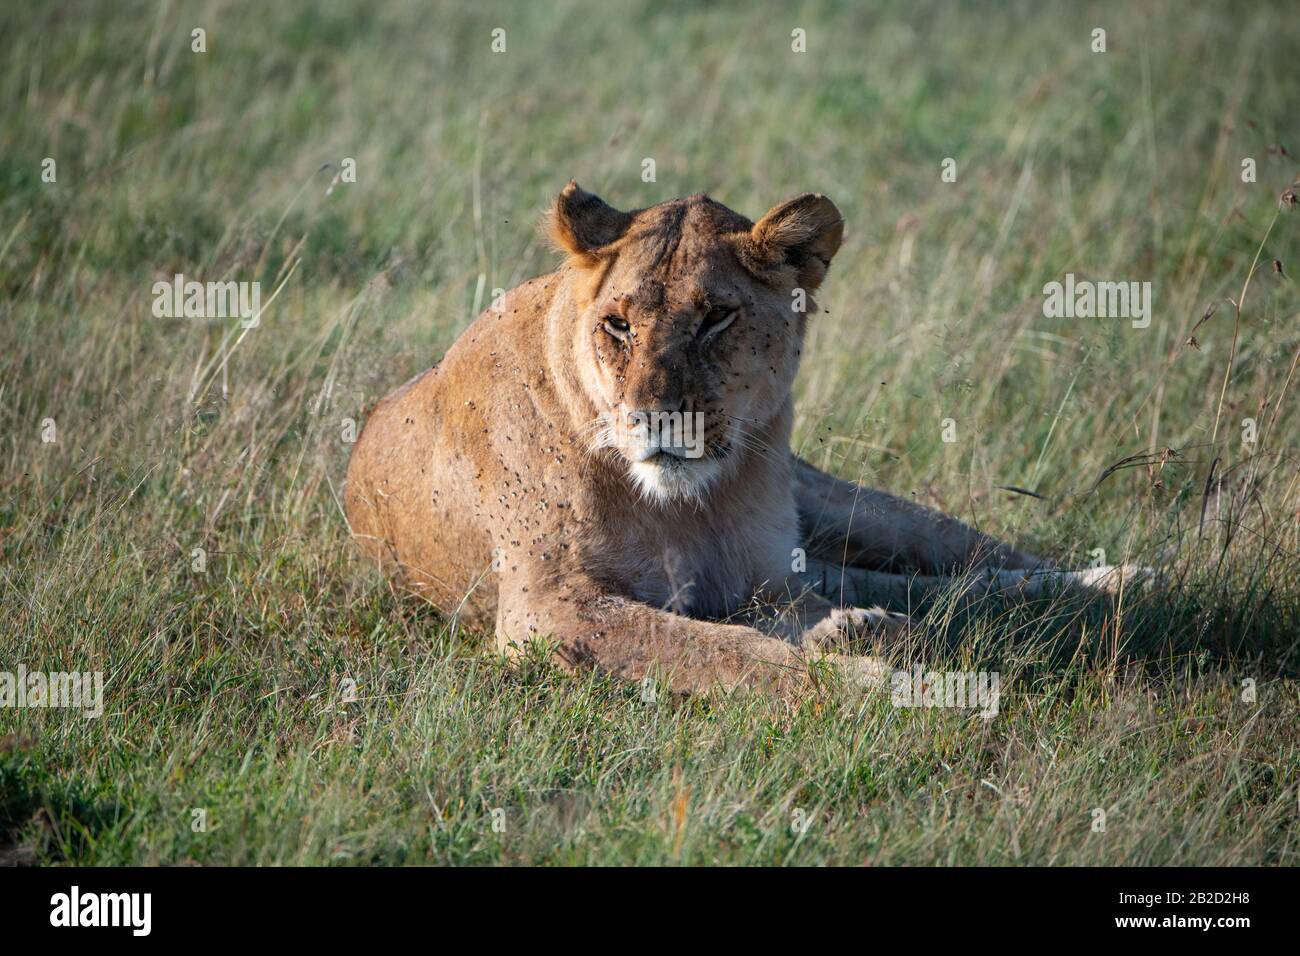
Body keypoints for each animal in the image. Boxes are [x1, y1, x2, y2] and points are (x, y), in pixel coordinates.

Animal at [345, 182, 1132, 696]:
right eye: (618, 325)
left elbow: (748, 636)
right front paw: (882, 680)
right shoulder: (548, 609)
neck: (687, 505)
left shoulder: (768, 577)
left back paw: (1117, 581)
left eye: (716, 317)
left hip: (841, 505)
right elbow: (721, 650)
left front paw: (863, 646)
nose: (654, 417)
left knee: (971, 564)